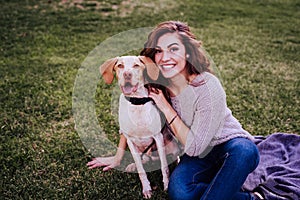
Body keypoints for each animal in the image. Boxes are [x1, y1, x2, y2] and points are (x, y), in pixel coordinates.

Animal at [99, 55, 178, 198]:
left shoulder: (158, 137)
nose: (127, 74)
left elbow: (164, 167)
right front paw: (146, 188)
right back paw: (132, 166)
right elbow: (141, 169)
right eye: (120, 65)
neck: (136, 103)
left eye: (136, 65)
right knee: (144, 160)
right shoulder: (130, 140)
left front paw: (167, 185)